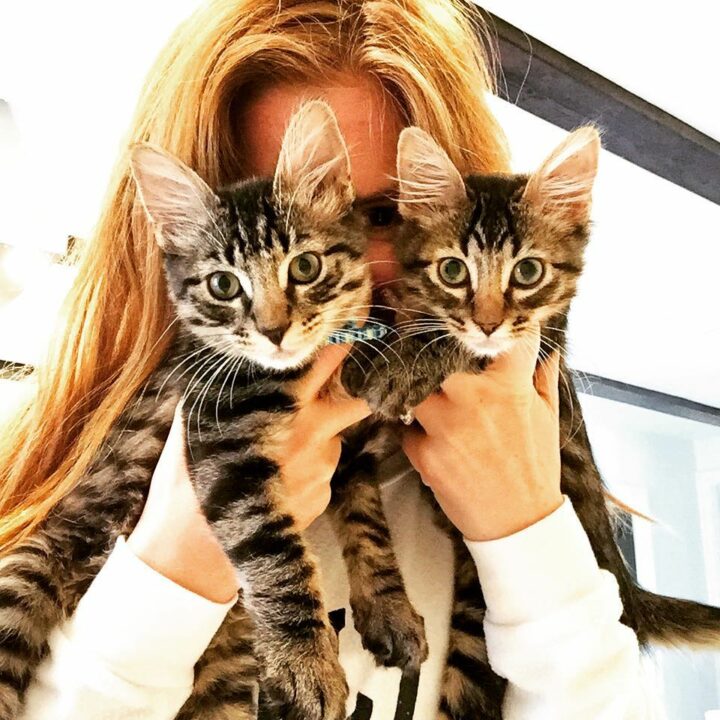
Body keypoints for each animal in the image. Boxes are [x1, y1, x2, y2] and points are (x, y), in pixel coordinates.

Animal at [0, 100, 377, 720]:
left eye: (305, 268)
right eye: (224, 285)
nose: (274, 330)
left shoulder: (344, 441)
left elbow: (366, 512)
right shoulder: (220, 440)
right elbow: (275, 551)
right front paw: (308, 662)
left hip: (227, 679)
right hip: (29, 575)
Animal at [341, 125, 720, 719]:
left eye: (528, 272)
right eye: (453, 270)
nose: (488, 322)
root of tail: (628, 590)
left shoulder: (540, 340)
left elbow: (455, 345)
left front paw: (401, 363)